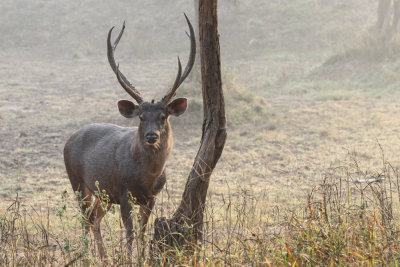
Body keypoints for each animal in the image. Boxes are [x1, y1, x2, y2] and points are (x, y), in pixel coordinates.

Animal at [63, 14, 196, 262]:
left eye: (163, 116)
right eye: (141, 117)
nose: (152, 136)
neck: (146, 177)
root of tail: (68, 139)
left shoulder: (151, 197)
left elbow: (143, 231)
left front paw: (142, 258)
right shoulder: (124, 193)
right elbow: (130, 231)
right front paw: (128, 258)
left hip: (103, 193)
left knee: (94, 218)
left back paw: (104, 258)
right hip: (77, 181)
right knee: (85, 218)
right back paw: (86, 257)